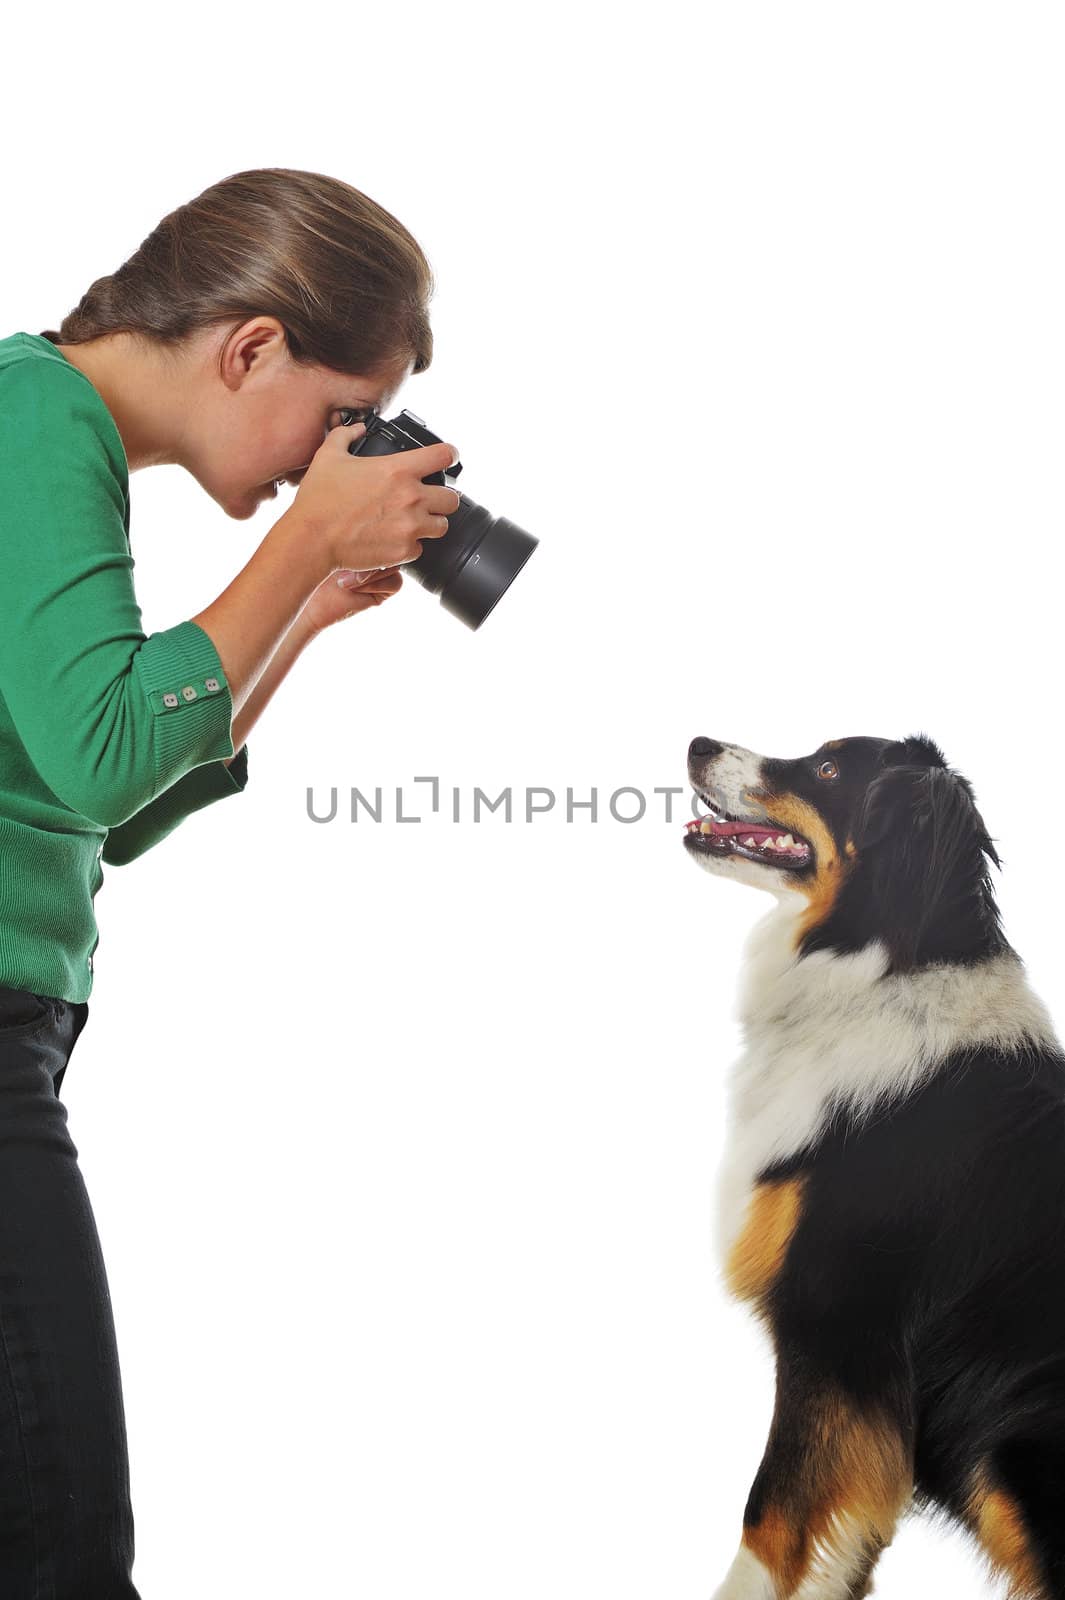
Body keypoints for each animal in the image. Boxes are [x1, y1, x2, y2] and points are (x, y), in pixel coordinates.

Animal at [681, 732, 1061, 1600]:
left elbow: (771, 1513)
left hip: (1008, 1444)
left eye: (826, 769)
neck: (880, 965)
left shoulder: (834, 1324)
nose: (697, 742)